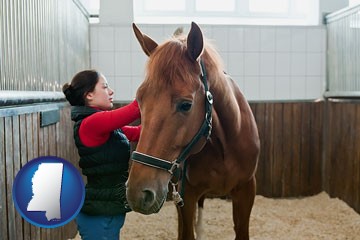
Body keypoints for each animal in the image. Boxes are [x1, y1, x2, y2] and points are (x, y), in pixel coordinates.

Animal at [126, 21, 258, 239]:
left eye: (186, 105)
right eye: (139, 100)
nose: (138, 193)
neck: (223, 147)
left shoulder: (246, 190)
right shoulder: (186, 195)